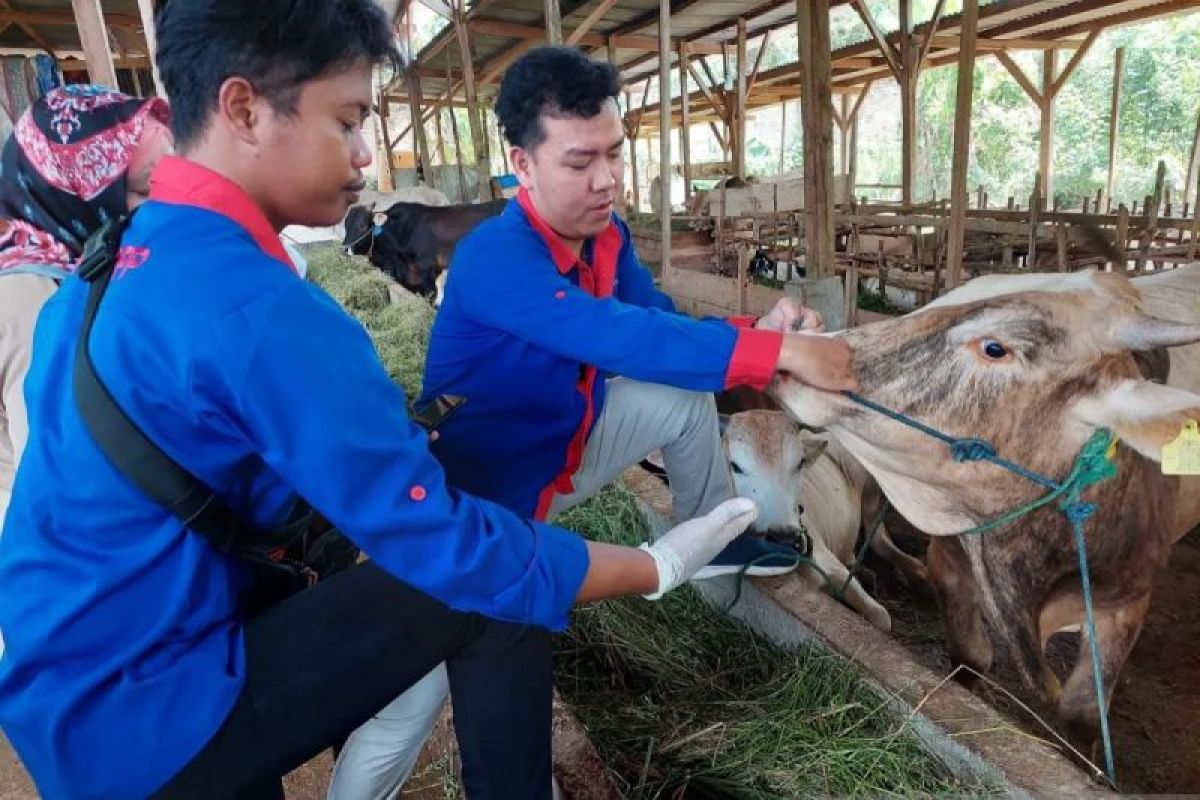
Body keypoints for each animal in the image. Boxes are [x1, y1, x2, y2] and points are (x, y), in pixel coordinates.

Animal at [772, 266, 1200, 753]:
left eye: (995, 347)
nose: (802, 345)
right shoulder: (951, 563)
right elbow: (971, 657)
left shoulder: (1124, 606)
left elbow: (1083, 713)